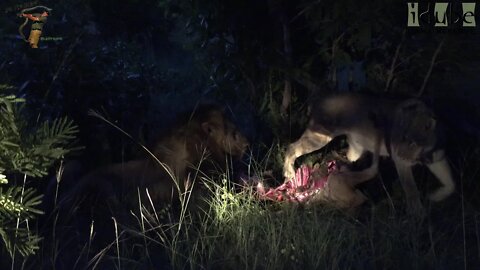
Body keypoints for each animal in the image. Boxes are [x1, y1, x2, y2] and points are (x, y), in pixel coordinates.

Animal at [284, 93, 456, 215]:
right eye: (400, 137)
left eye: (412, 142)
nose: (397, 153)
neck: (425, 154)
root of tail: (319, 97)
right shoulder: (402, 164)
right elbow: (411, 189)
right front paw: (417, 213)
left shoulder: (438, 159)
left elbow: (451, 185)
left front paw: (435, 196)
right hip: (319, 136)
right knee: (291, 148)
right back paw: (289, 173)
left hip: (354, 150)